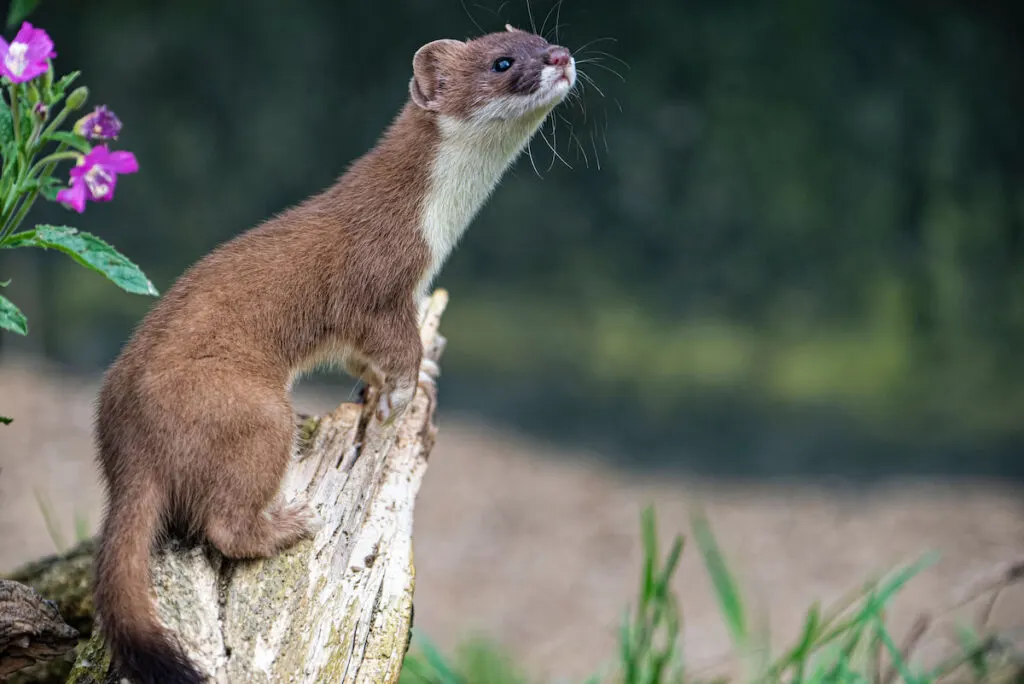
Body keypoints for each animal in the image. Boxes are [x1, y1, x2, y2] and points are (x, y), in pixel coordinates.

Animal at [91, 24, 577, 679]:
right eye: (502, 62)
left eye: (541, 34)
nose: (561, 57)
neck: (438, 230)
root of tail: (126, 449)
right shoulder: (376, 287)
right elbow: (392, 343)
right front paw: (401, 391)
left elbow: (366, 357)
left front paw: (414, 377)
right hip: (255, 413)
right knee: (221, 523)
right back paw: (290, 525)